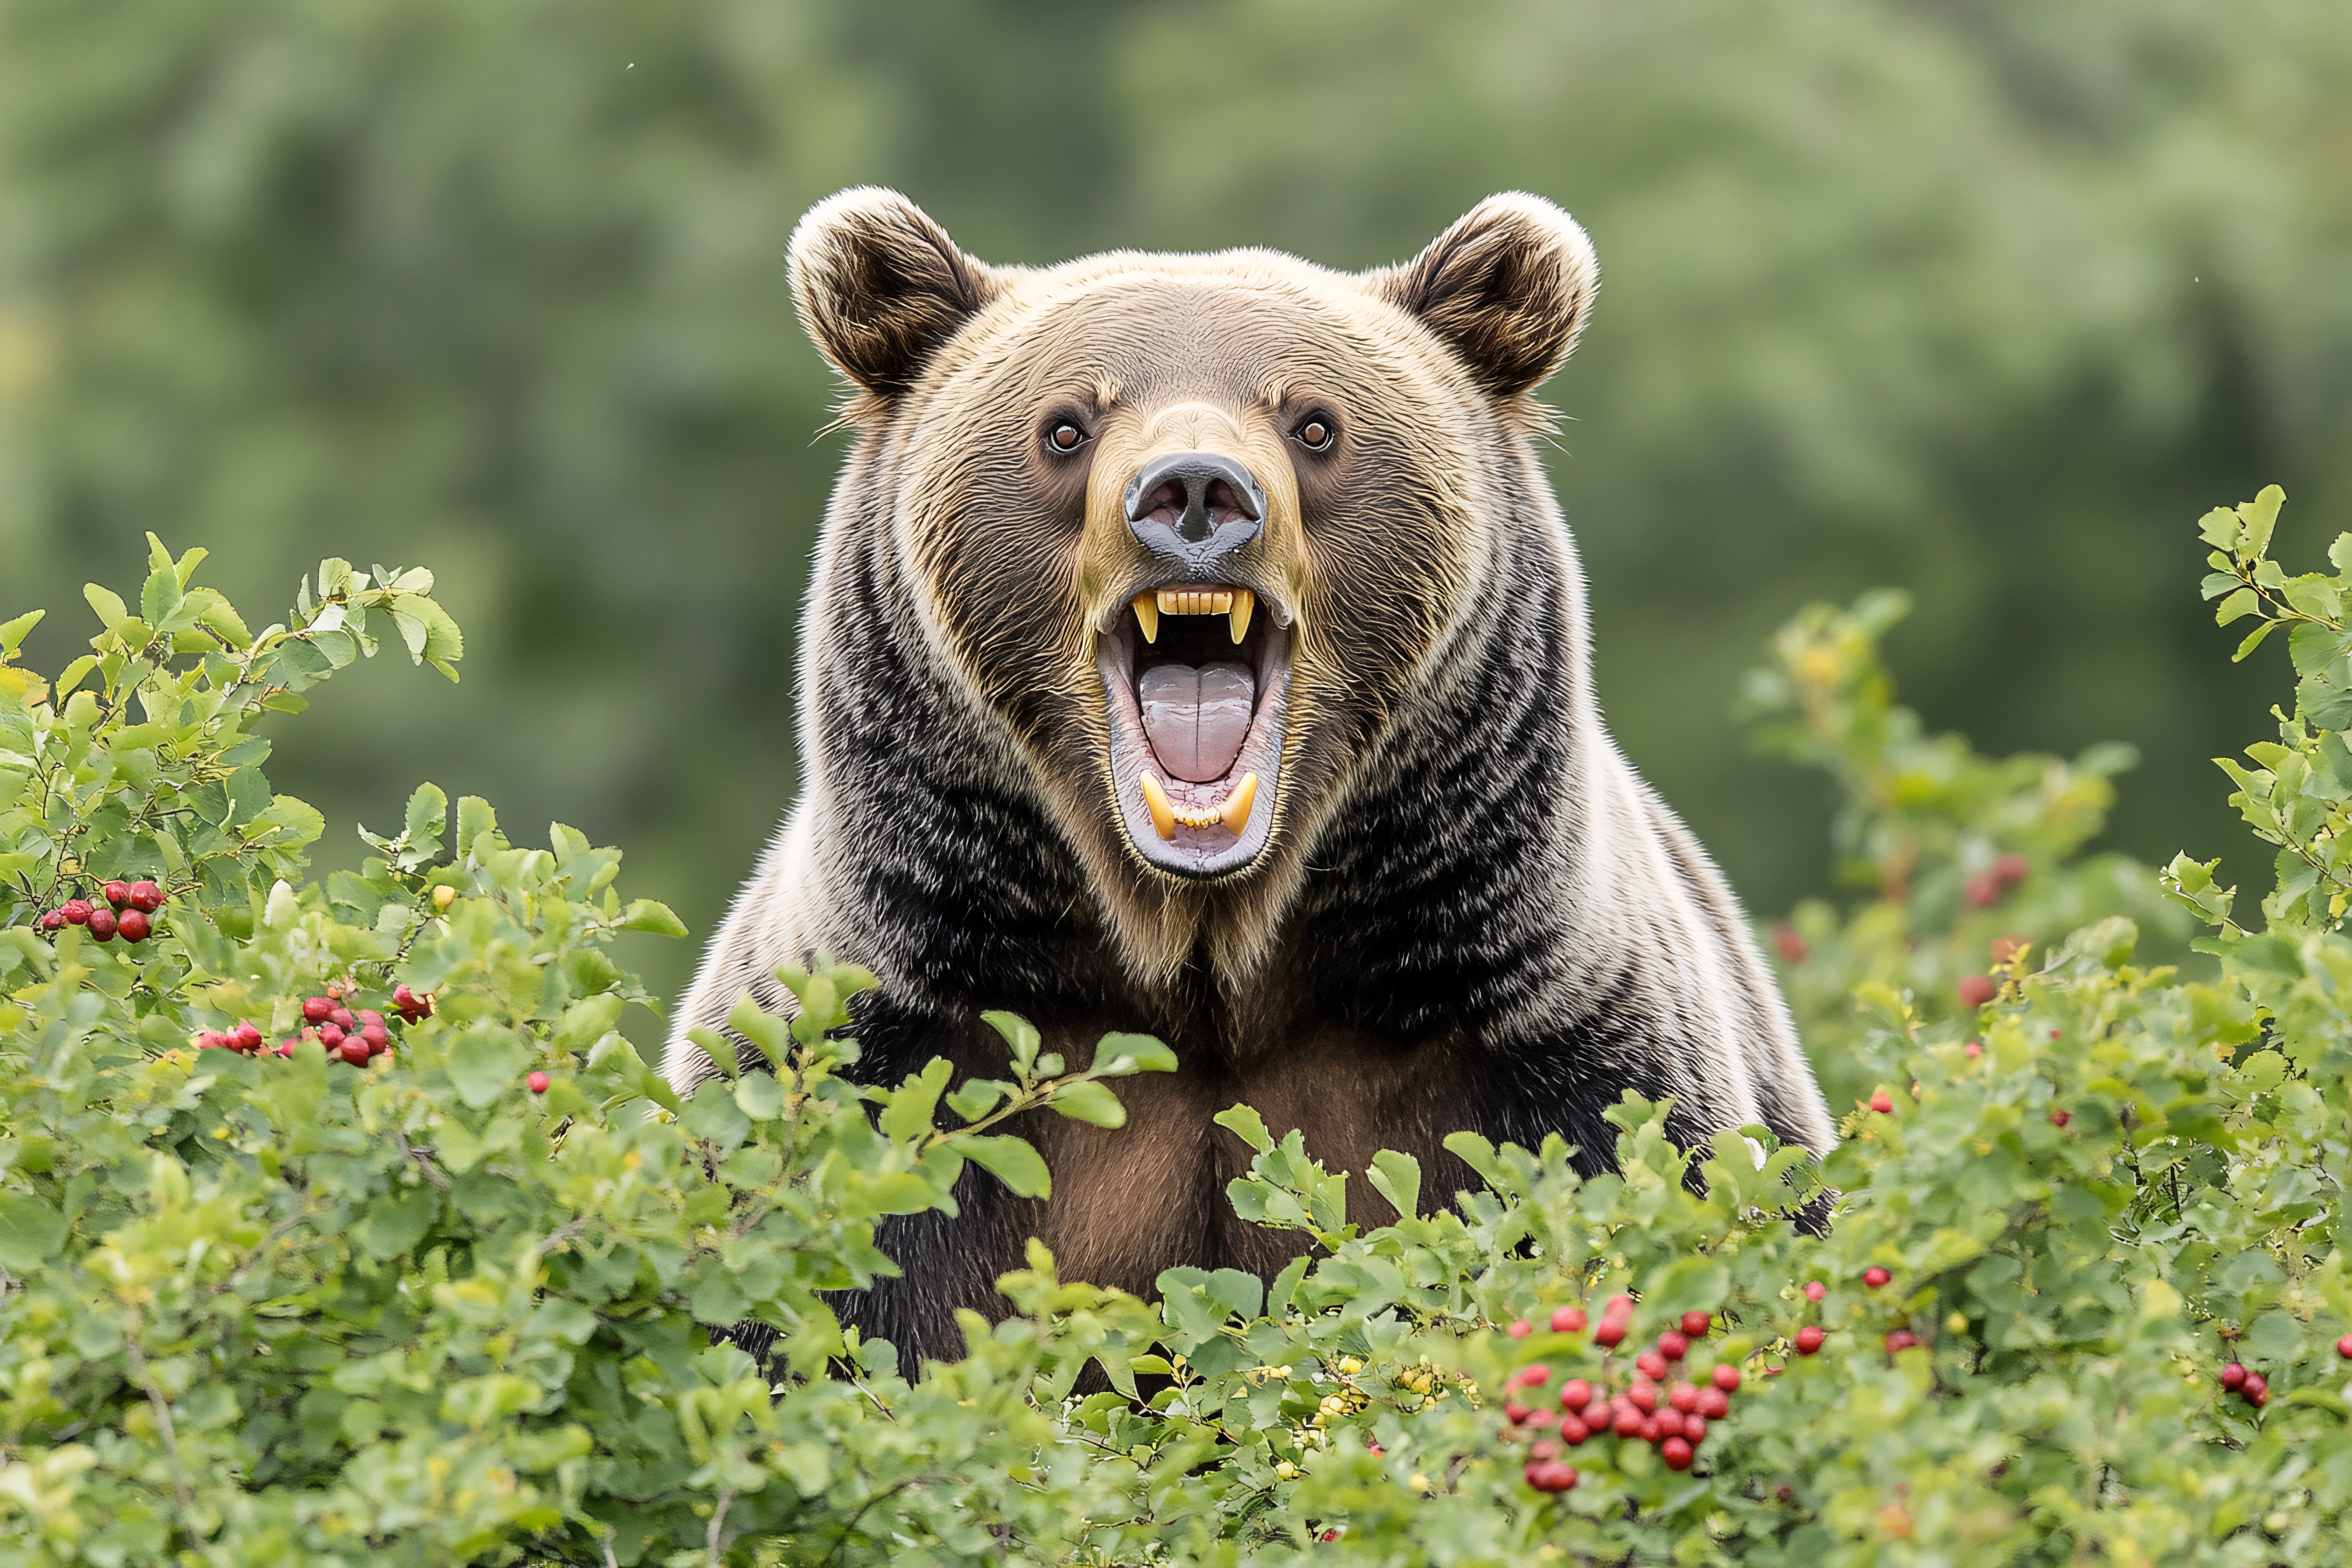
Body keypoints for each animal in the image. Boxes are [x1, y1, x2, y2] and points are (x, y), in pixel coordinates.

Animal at [667, 187, 1836, 1368]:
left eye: (1313, 422)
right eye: (1066, 424)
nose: (1193, 490)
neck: (1206, 959)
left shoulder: (1556, 1063)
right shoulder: (882, 1065)